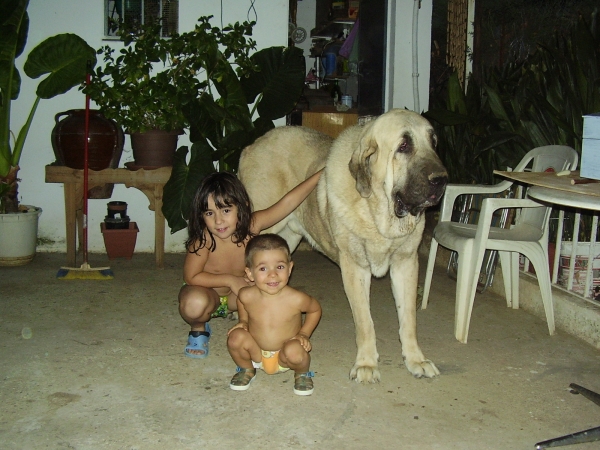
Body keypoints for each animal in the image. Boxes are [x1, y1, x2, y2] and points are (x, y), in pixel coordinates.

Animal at [238, 109, 446, 384]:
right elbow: (365, 321)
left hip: (285, 237)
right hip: (261, 228)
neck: (377, 212)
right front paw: (366, 364)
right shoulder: (355, 268)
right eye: (403, 146)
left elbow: (408, 318)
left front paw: (415, 359)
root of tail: (251, 145)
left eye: (433, 142)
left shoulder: (406, 264)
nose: (442, 180)